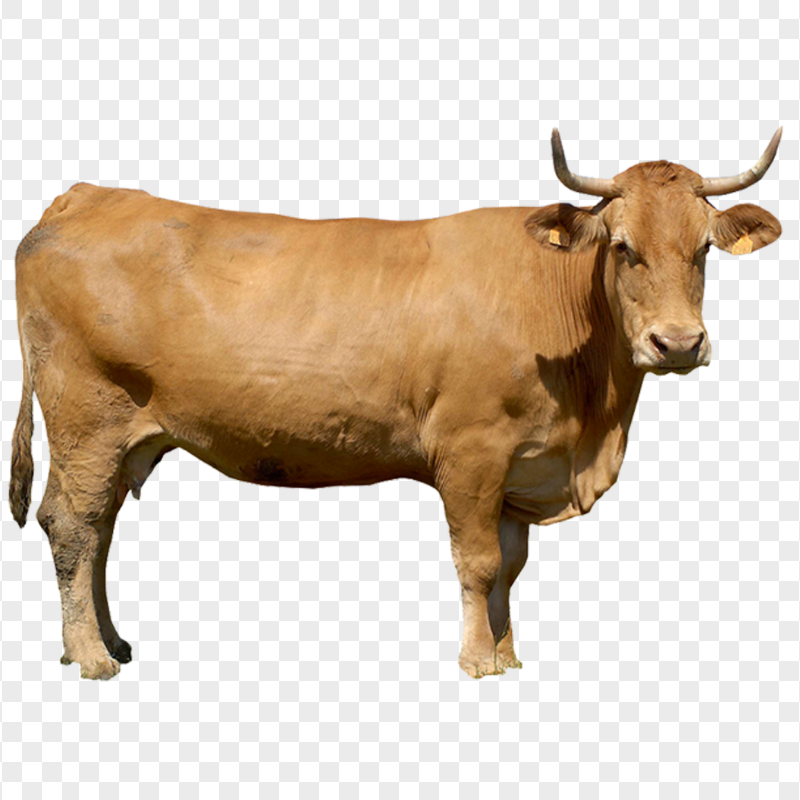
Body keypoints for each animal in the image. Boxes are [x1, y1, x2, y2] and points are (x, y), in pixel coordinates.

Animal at [10, 129, 782, 679]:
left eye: (703, 250)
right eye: (623, 248)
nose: (677, 343)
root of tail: (83, 196)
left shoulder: (519, 465)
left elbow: (509, 565)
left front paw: (506, 653)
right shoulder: (471, 450)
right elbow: (478, 561)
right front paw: (477, 662)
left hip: (121, 435)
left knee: (101, 528)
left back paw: (106, 639)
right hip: (86, 415)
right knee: (71, 524)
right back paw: (91, 656)